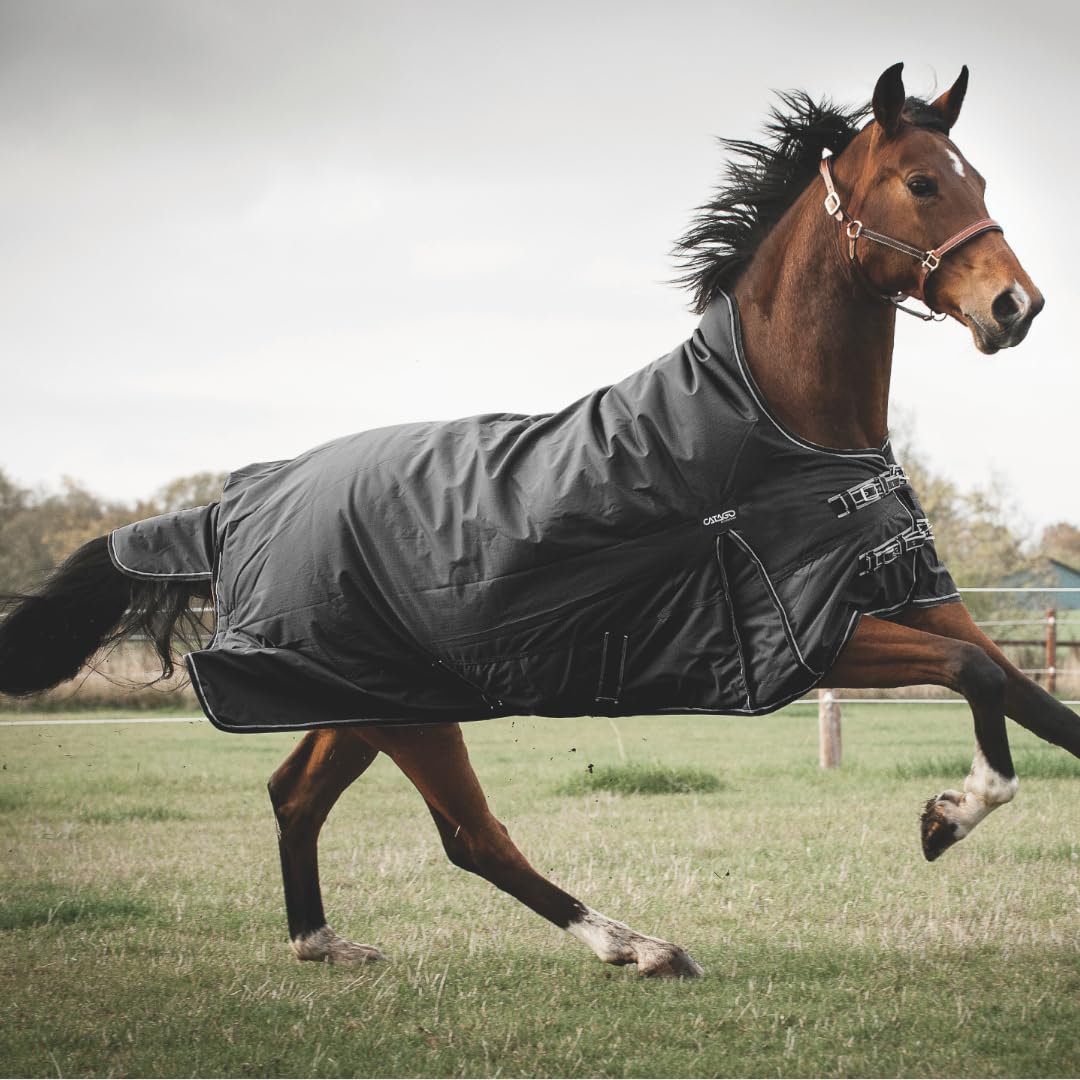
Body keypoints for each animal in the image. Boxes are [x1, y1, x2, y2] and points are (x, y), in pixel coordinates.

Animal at [1, 62, 1073, 980]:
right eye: (923, 183)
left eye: (976, 177)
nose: (1015, 305)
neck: (783, 425)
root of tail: (237, 503)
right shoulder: (811, 638)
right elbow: (979, 679)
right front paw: (949, 814)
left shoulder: (915, 599)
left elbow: (1038, 701)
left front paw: (960, 805)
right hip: (411, 710)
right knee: (472, 837)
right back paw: (638, 948)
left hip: (366, 696)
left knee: (294, 795)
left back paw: (322, 943)